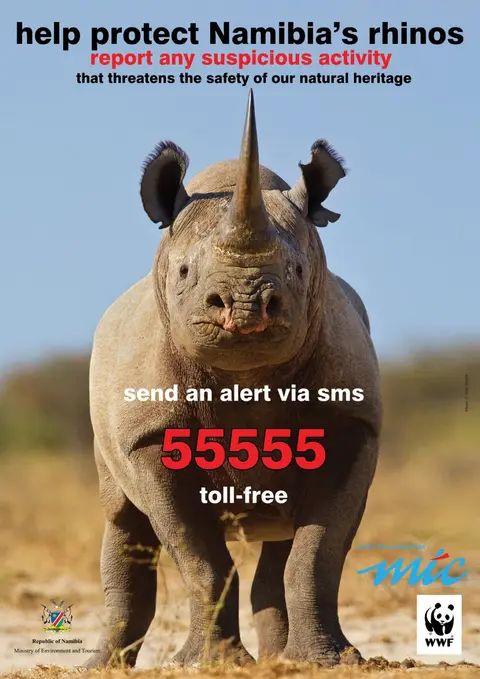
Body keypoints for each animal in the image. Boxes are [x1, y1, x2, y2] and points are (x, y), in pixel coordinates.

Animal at [86, 91, 382, 668]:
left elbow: (318, 553)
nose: (245, 305)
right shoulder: (149, 434)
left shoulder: (352, 421)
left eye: (297, 272)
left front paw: (329, 662)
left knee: (283, 543)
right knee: (122, 518)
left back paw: (283, 659)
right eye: (182, 273)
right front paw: (208, 664)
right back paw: (100, 669)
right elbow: (199, 554)